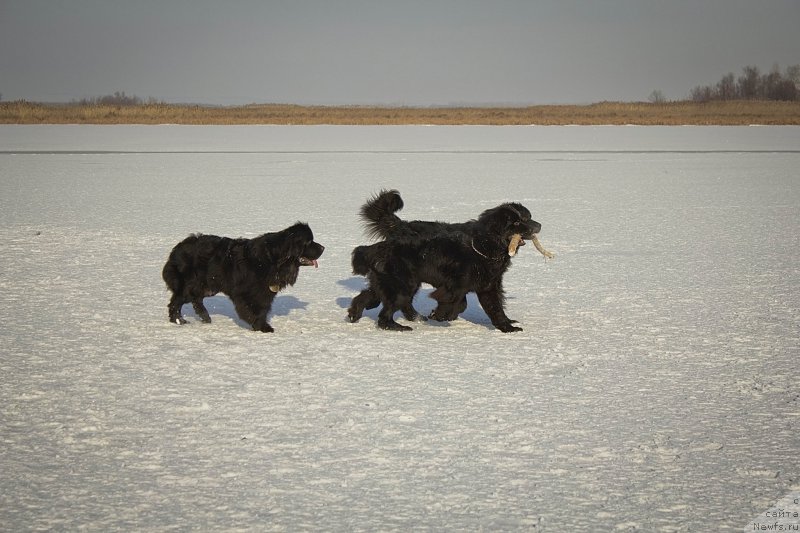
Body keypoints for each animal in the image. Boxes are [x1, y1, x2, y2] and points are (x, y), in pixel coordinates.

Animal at [161, 221, 324, 330]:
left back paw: (206, 318)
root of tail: (176, 249)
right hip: (190, 284)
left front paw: (261, 325)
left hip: (208, 286)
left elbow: (263, 309)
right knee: (176, 301)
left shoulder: (266, 292)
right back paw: (178, 321)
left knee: (196, 300)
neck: (274, 259)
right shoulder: (244, 292)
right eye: (309, 242)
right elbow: (249, 309)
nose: (323, 247)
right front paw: (261, 326)